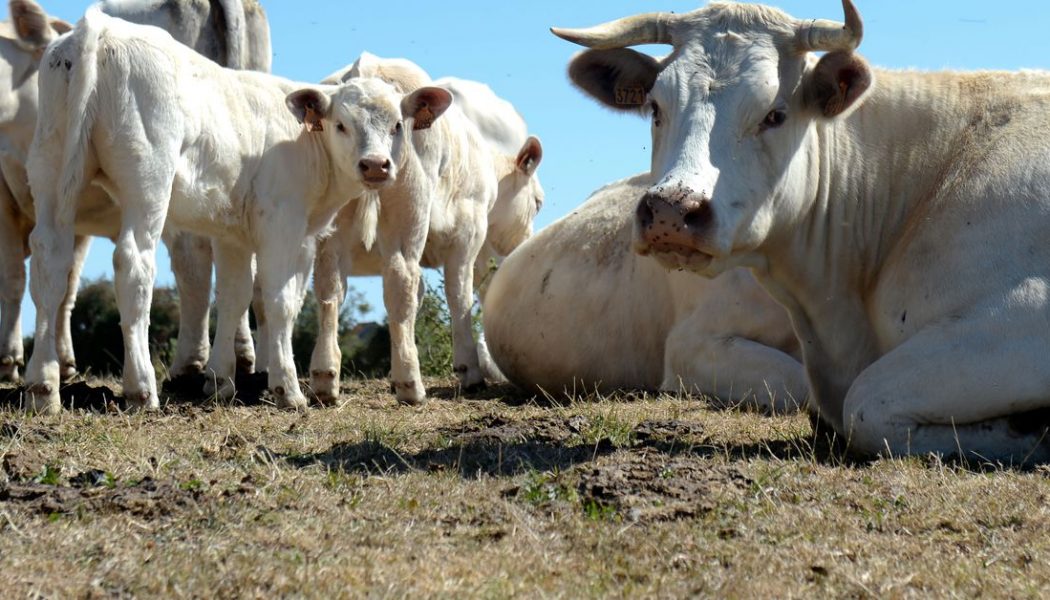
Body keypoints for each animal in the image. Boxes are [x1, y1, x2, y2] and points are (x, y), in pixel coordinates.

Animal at [0, 0, 272, 384]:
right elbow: (64, 282)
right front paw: (60, 363)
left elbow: (15, 279)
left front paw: (13, 361)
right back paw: (240, 364)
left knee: (182, 261)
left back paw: (186, 367)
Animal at [23, 8, 452, 413]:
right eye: (341, 125)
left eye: (398, 125)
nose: (376, 165)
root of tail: (100, 27)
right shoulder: (284, 225)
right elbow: (280, 300)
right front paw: (286, 388)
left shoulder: (232, 234)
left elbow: (234, 294)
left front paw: (219, 382)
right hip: (147, 183)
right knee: (133, 264)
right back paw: (141, 389)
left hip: (49, 168)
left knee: (49, 262)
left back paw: (42, 387)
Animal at [309, 53, 540, 405]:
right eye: (538, 202)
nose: (526, 244)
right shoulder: (469, 236)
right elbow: (459, 296)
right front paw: (469, 371)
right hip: (409, 210)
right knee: (400, 277)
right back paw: (411, 385)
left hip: (334, 224)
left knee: (329, 286)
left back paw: (324, 378)